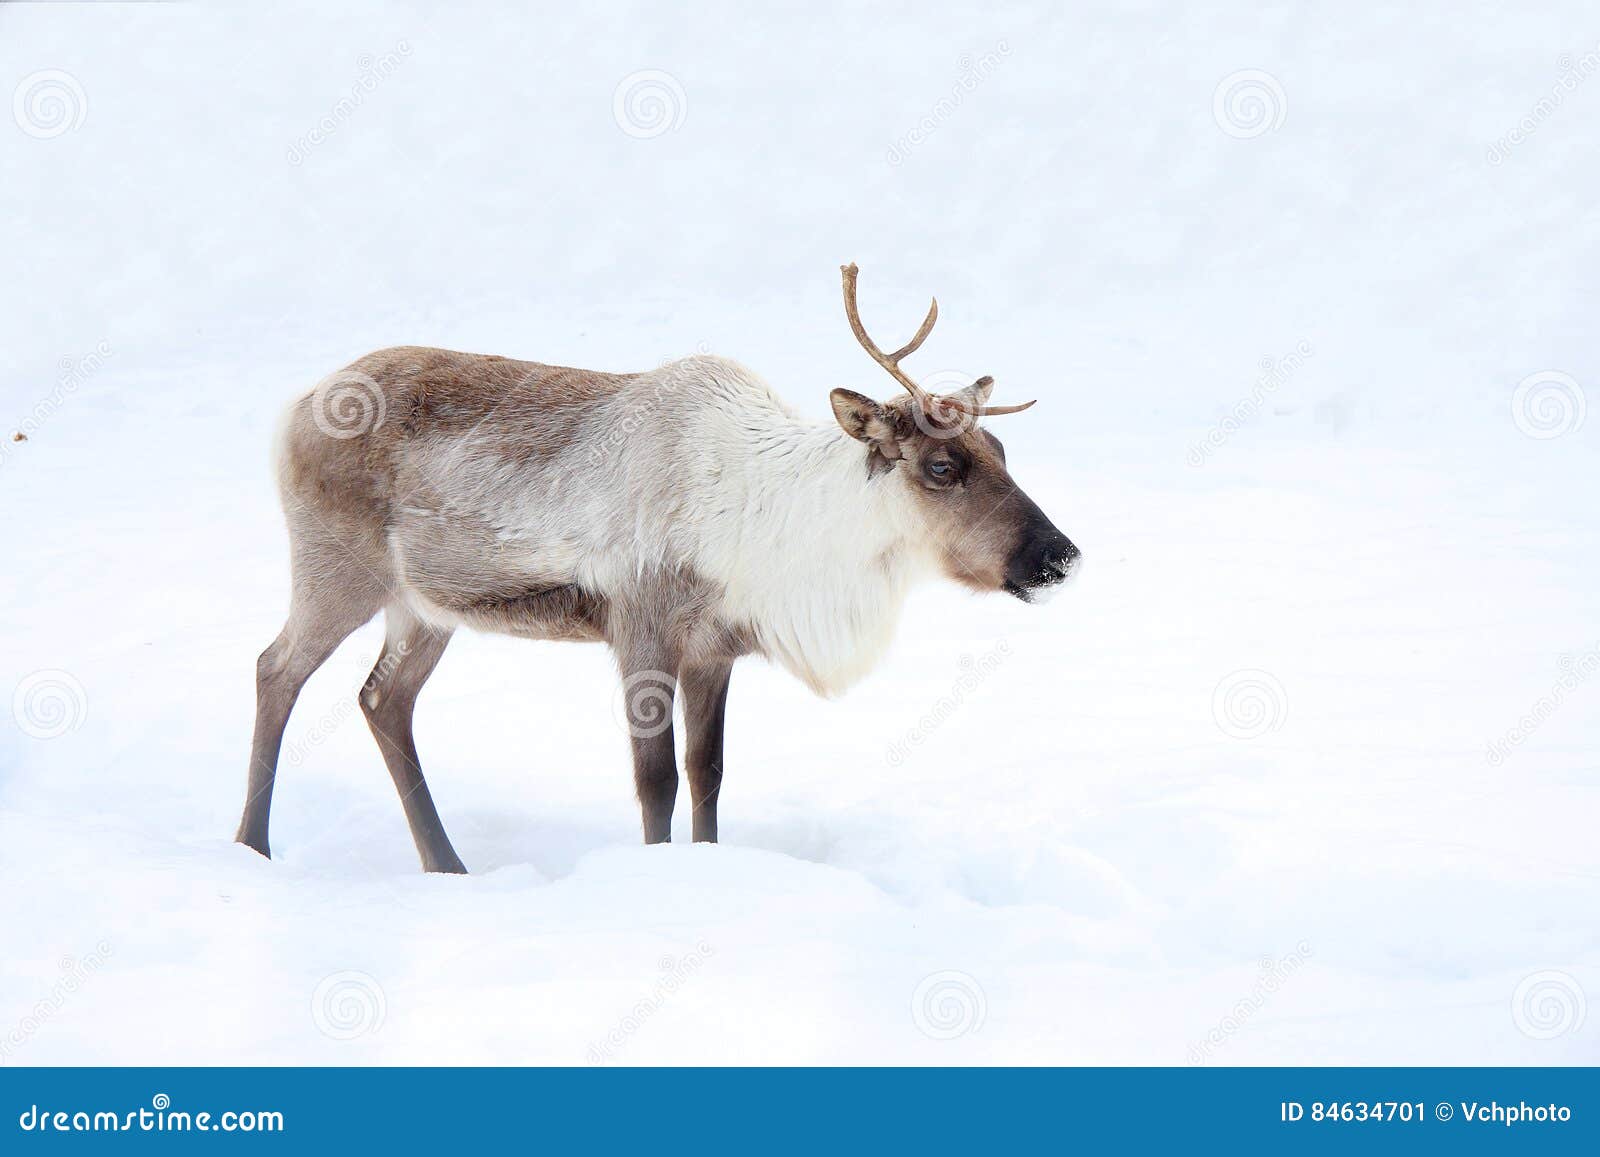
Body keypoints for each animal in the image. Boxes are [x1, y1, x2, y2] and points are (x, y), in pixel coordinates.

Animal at [236, 264, 1079, 873]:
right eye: (941, 465)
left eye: (1001, 449)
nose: (1060, 555)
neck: (783, 534)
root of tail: (292, 407)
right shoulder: (640, 630)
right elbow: (656, 781)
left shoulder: (713, 648)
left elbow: (708, 772)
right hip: (338, 570)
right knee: (276, 667)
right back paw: (253, 846)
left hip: (426, 608)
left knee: (383, 699)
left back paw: (446, 865)